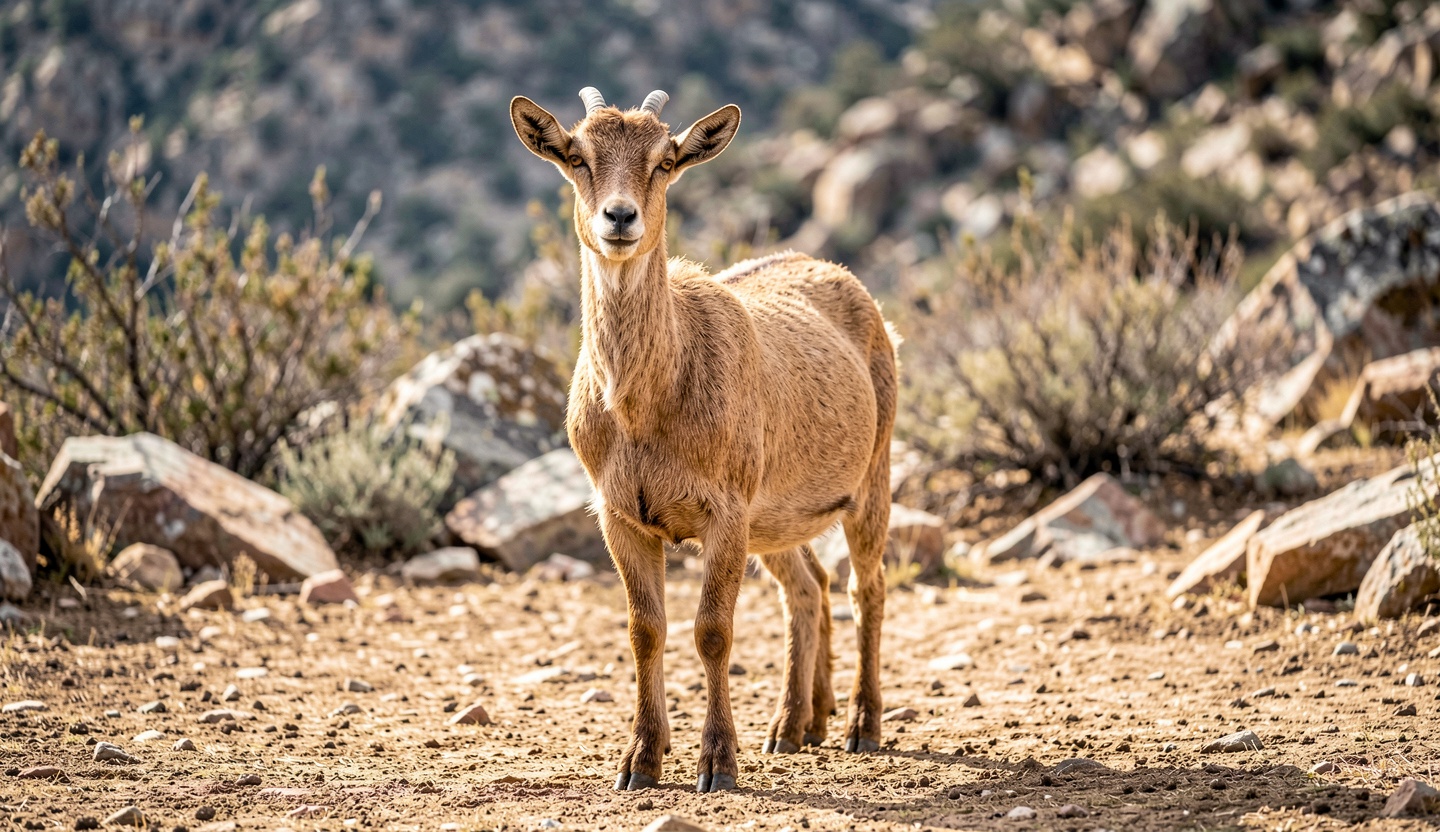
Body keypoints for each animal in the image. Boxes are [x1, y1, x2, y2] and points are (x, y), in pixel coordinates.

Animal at [510, 87, 897, 793]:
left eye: (666, 160)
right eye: (576, 155)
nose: (619, 217)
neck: (646, 410)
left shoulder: (726, 507)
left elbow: (713, 630)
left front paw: (716, 763)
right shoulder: (620, 514)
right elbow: (645, 629)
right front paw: (640, 760)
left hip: (871, 473)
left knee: (867, 587)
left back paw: (861, 725)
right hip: (778, 517)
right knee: (808, 585)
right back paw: (796, 724)